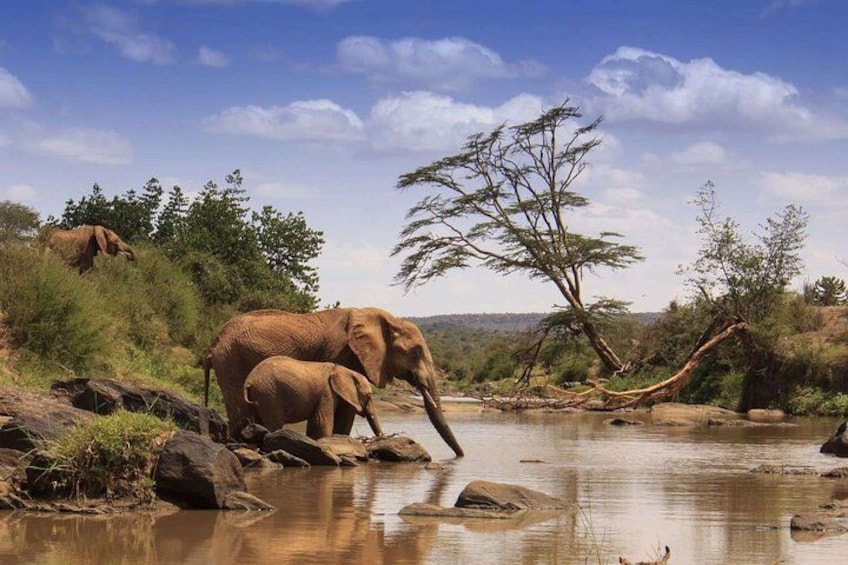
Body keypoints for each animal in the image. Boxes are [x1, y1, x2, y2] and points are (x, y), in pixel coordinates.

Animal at [243, 356, 383, 439]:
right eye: (369, 396)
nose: (381, 437)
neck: (344, 370)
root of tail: (249, 381)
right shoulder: (326, 392)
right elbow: (322, 422)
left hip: (259, 394)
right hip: (270, 394)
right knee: (274, 423)